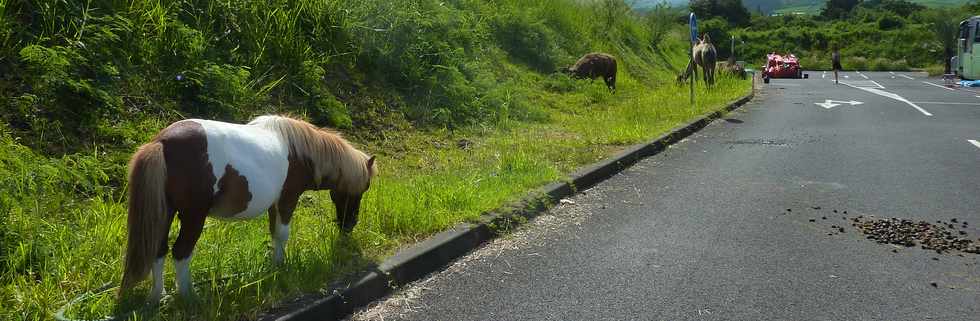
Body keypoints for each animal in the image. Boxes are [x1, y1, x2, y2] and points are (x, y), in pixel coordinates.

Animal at [116, 114, 376, 300]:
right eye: (363, 189)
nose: (349, 225)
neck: (300, 151)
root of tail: (161, 142)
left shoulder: (275, 204)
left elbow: (275, 234)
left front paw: (275, 266)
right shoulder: (287, 199)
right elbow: (283, 234)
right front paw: (281, 267)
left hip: (166, 213)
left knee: (158, 251)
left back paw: (158, 297)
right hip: (193, 217)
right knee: (180, 252)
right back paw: (189, 296)